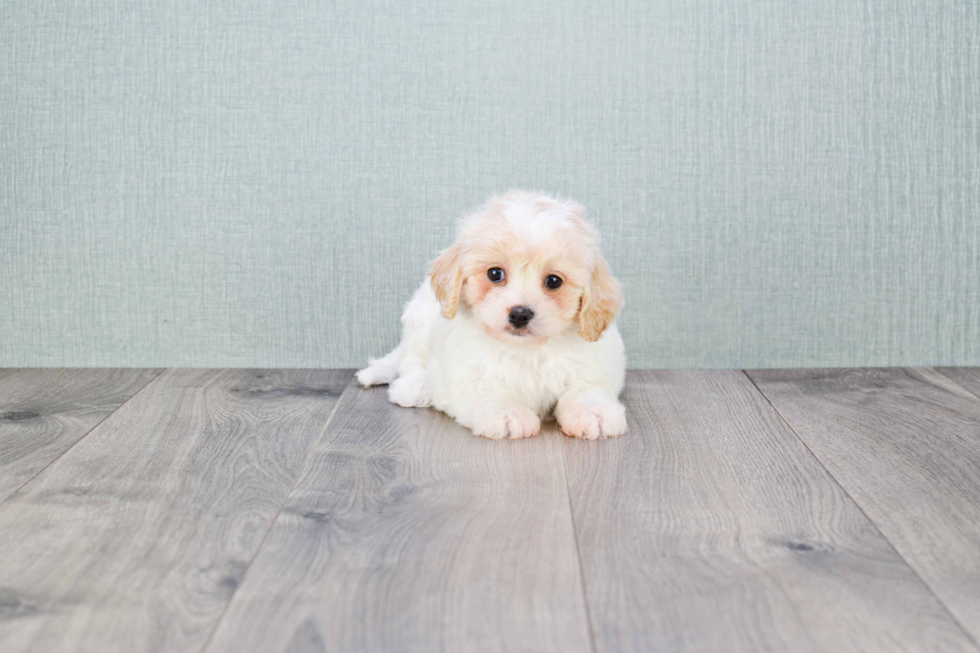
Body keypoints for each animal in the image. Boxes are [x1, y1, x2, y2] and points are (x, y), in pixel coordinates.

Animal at [360, 191, 628, 440]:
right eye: (495, 274)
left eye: (554, 281)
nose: (520, 314)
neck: (527, 350)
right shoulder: (469, 374)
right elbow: (489, 392)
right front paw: (508, 414)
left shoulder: (594, 366)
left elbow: (585, 389)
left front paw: (593, 412)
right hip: (420, 320)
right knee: (411, 361)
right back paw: (415, 388)